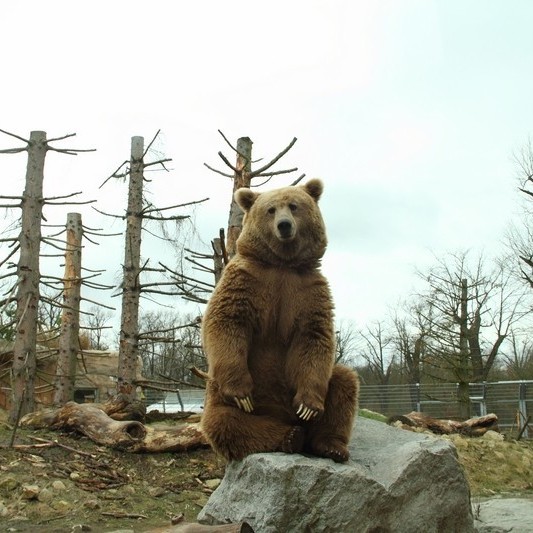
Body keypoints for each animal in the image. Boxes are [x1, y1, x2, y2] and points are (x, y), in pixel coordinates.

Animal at [200, 178, 358, 462]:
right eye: (271, 209)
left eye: (294, 206)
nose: (284, 225)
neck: (282, 264)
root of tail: (282, 415)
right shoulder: (246, 279)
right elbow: (227, 320)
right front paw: (242, 393)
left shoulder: (309, 290)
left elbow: (315, 335)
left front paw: (308, 407)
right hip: (222, 399)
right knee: (224, 423)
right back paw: (291, 436)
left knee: (344, 382)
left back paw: (331, 446)